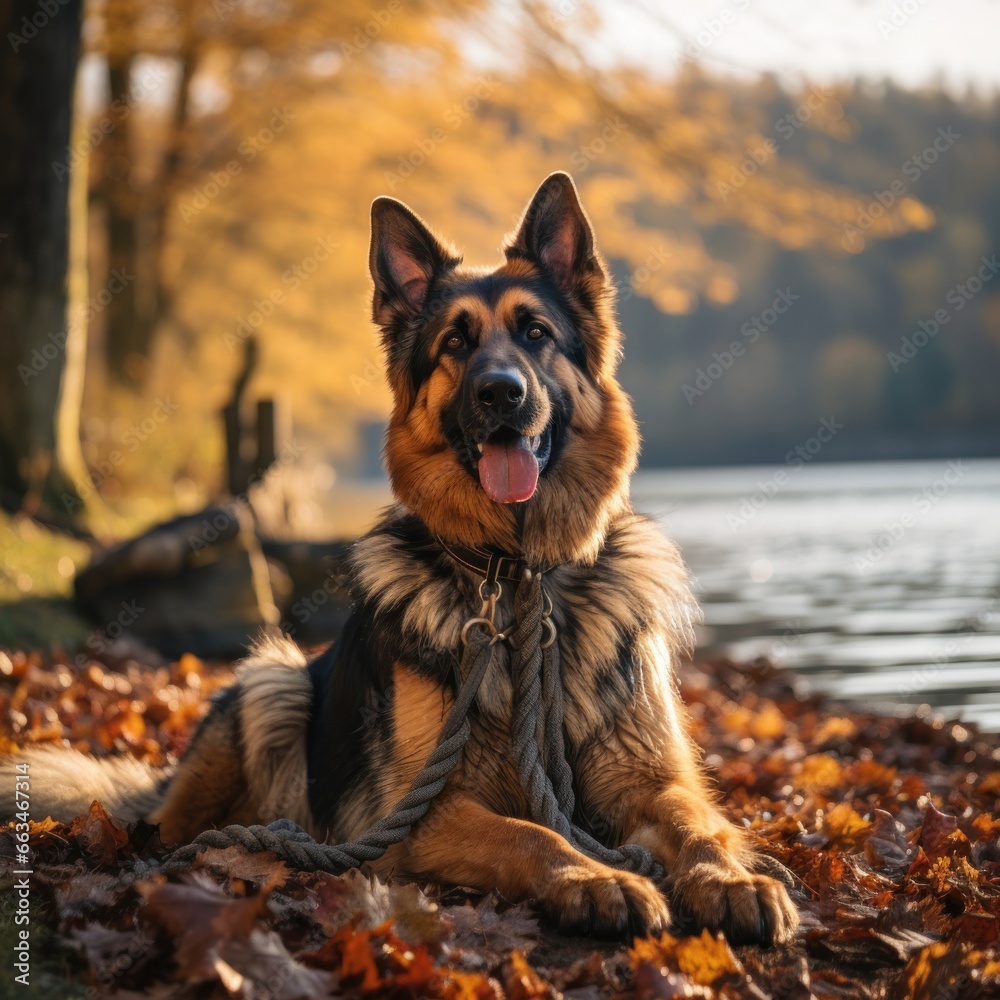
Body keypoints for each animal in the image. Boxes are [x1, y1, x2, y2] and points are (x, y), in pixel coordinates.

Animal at [1, 174, 796, 944]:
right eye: (455, 343)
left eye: (536, 334)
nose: (500, 393)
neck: (519, 578)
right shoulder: (424, 814)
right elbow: (532, 835)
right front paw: (594, 879)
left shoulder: (657, 784)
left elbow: (698, 829)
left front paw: (732, 881)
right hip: (272, 681)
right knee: (171, 824)